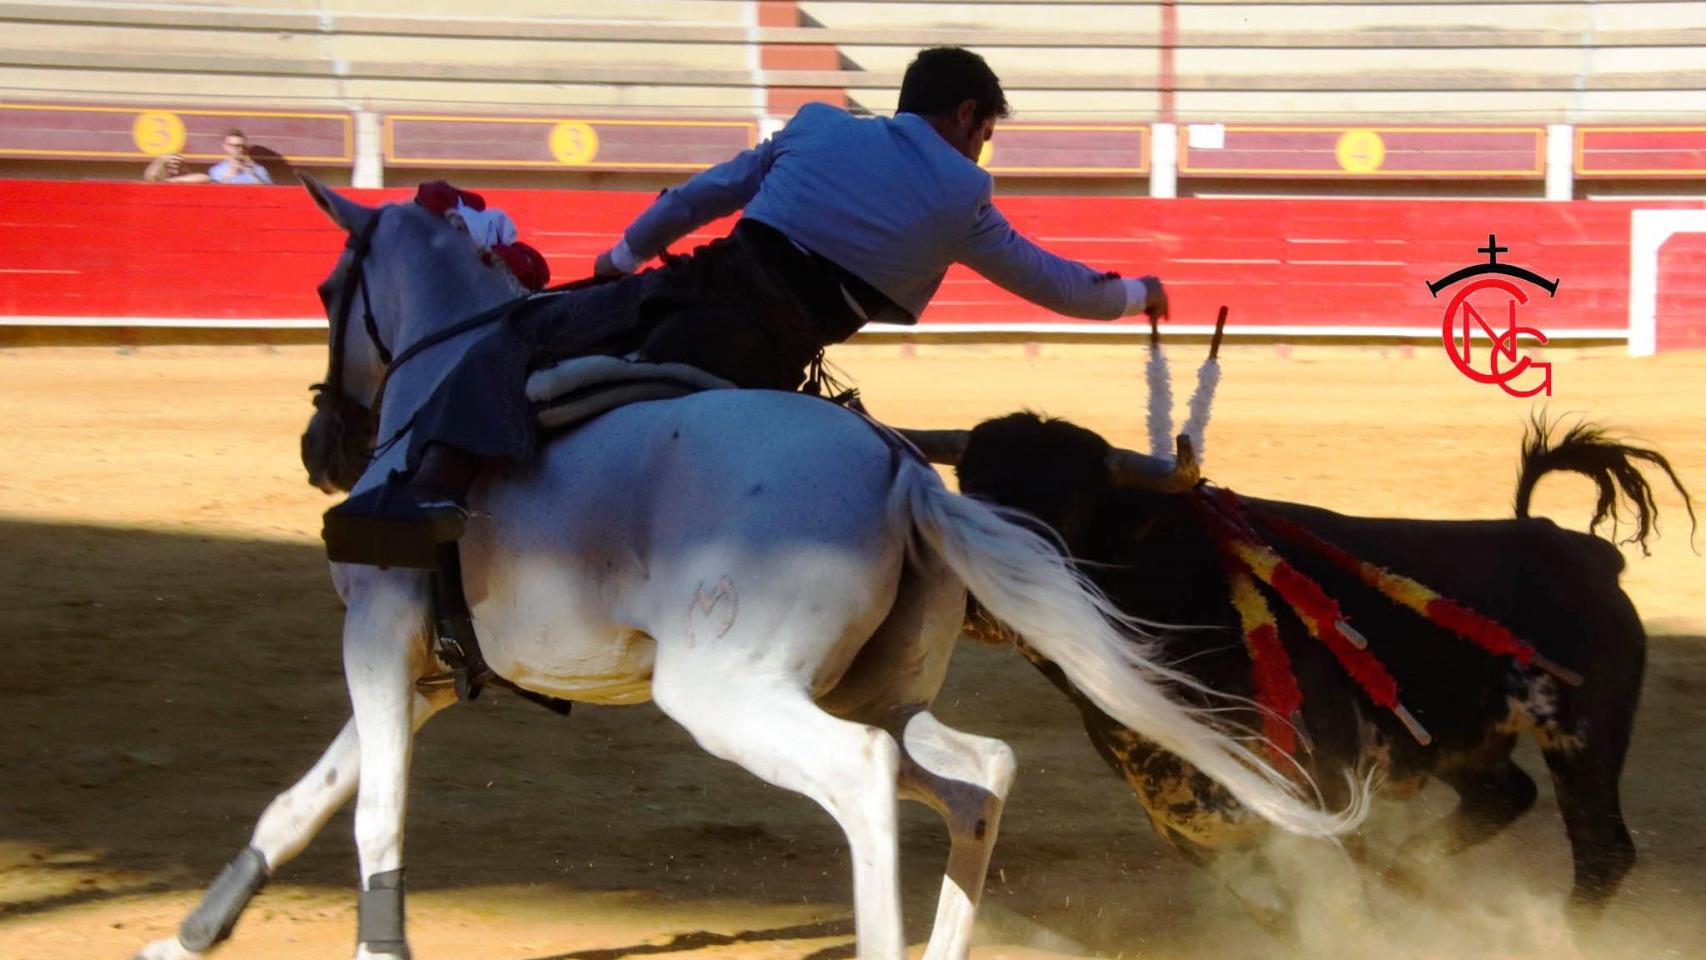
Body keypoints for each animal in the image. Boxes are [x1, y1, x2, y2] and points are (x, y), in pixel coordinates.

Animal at [136, 180, 1357, 960]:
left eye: (325, 290)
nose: (320, 448)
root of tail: (899, 474)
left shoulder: (380, 637)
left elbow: (372, 815)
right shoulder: (425, 670)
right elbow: (305, 801)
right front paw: (186, 936)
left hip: (726, 694)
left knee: (867, 779)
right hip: (870, 690)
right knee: (977, 775)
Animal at [955, 414, 1685, 920]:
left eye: (1070, 511)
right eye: (966, 491)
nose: (981, 597)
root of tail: (1577, 547)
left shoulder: (1324, 799)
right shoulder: (1194, 831)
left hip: (1582, 732)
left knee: (1601, 853)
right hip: (1468, 746)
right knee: (1503, 799)